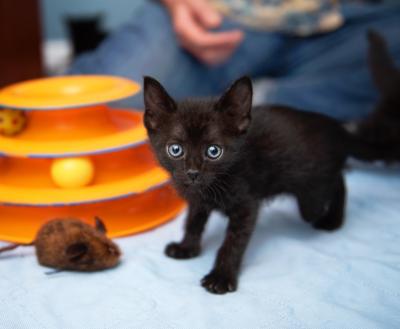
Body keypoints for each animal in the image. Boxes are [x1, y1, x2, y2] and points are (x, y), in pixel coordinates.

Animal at [142, 34, 396, 294]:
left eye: (214, 151)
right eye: (175, 149)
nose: (192, 173)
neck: (213, 186)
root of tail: (338, 129)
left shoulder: (247, 205)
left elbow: (232, 242)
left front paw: (221, 277)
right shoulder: (197, 200)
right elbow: (193, 221)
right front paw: (187, 248)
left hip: (312, 192)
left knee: (336, 183)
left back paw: (332, 219)